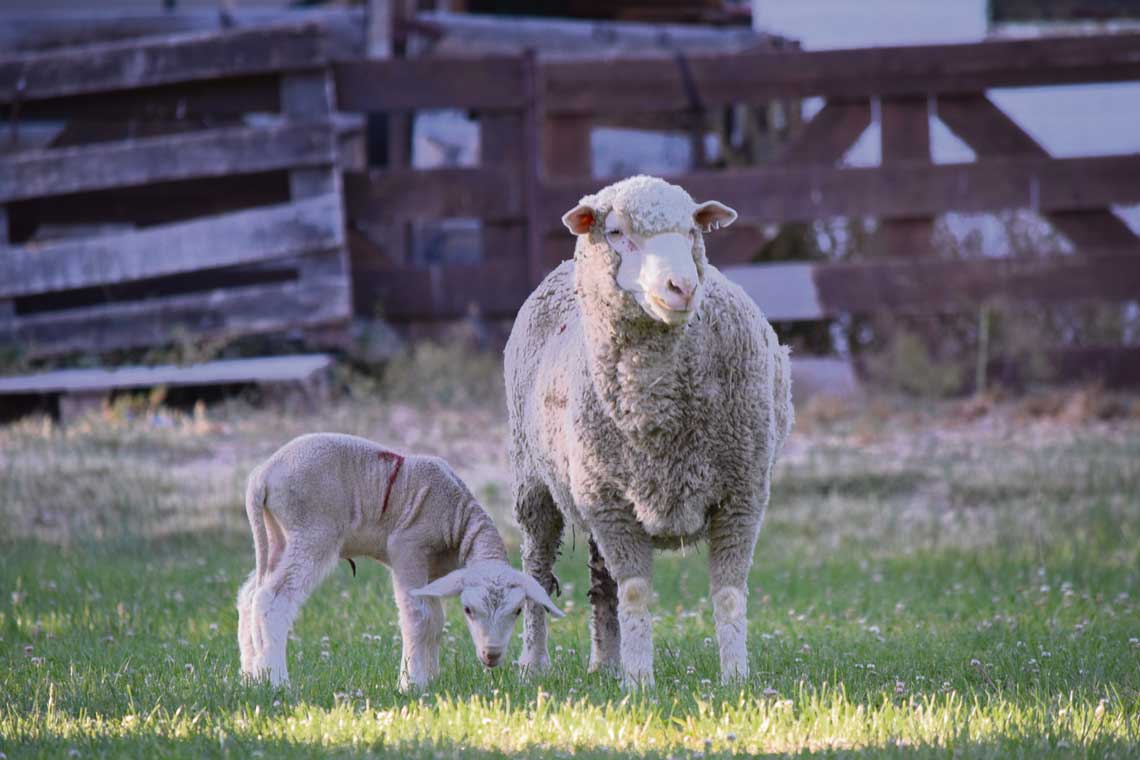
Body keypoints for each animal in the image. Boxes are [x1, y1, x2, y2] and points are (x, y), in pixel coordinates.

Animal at [237, 432, 565, 688]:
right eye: (468, 610)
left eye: (518, 611)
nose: (492, 655)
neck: (457, 517)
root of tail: (262, 475)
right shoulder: (408, 548)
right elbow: (419, 616)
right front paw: (412, 683)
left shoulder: (434, 573)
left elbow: (436, 620)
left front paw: (430, 678)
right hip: (311, 530)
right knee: (273, 598)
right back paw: (277, 680)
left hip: (277, 535)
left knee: (250, 595)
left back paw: (252, 676)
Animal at [506, 175, 793, 688]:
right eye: (616, 232)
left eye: (692, 230)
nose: (682, 287)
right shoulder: (612, 505)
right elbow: (636, 593)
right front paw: (640, 682)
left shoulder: (741, 494)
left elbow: (728, 595)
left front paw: (736, 679)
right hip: (535, 483)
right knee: (537, 570)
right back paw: (533, 663)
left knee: (602, 583)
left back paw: (605, 662)